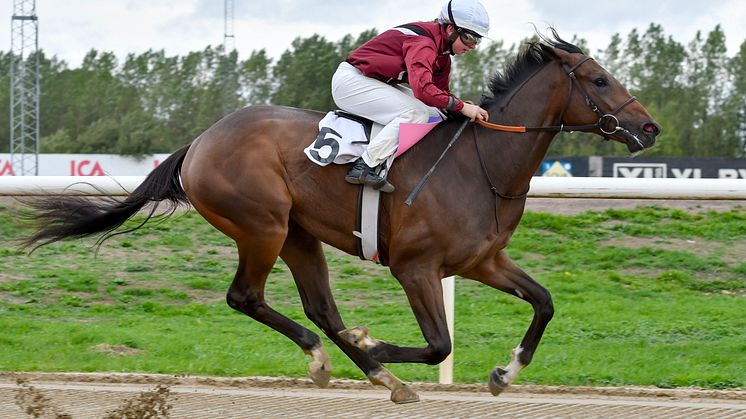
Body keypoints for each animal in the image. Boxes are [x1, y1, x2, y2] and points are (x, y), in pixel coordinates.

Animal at [21, 30, 656, 404]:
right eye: (599, 79)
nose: (648, 127)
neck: (482, 162)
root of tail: (199, 142)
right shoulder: (415, 267)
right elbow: (439, 344)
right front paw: (375, 344)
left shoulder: (481, 261)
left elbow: (544, 302)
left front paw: (504, 374)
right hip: (263, 225)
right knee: (247, 297)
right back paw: (338, 360)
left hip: (299, 234)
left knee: (320, 308)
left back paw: (377, 375)